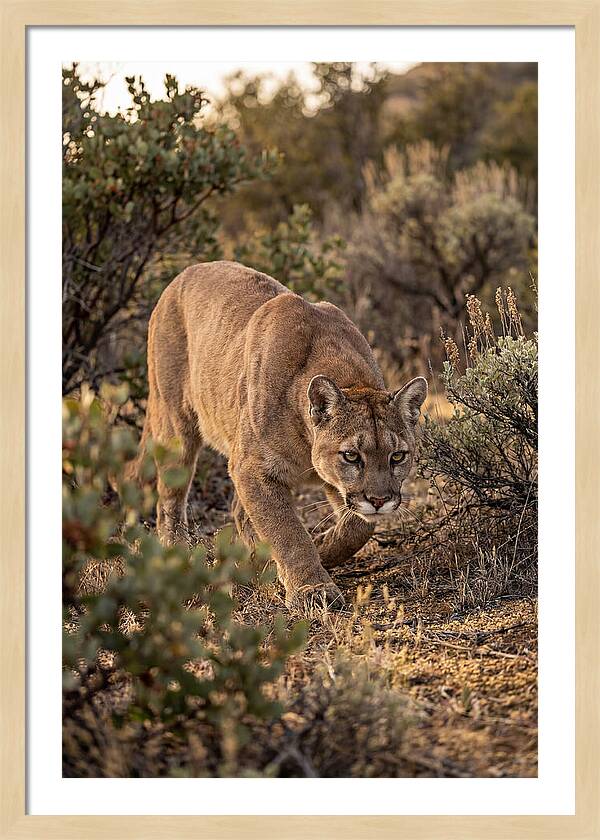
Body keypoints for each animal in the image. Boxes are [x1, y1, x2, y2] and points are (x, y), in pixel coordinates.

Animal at [127, 261, 427, 608]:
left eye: (398, 456)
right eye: (352, 456)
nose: (379, 500)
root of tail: (184, 273)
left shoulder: (326, 482)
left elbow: (358, 526)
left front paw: (322, 547)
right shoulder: (253, 468)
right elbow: (287, 531)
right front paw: (312, 589)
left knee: (238, 511)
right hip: (177, 425)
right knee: (170, 500)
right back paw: (178, 552)